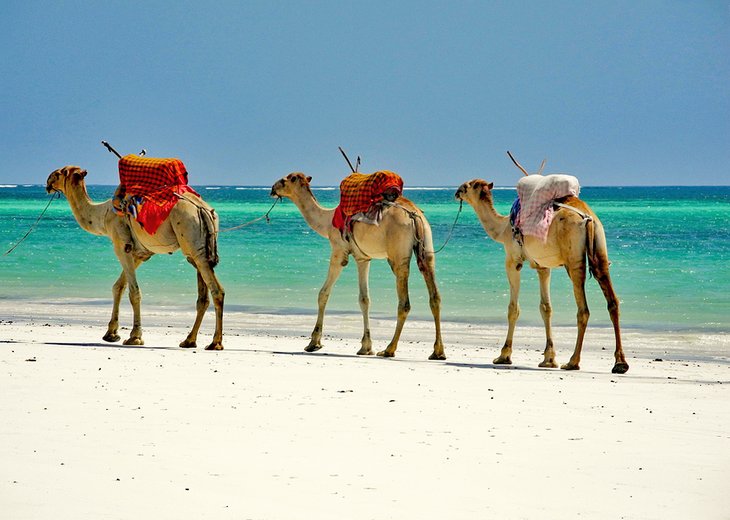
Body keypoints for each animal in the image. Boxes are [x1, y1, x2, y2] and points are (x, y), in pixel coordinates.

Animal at [46, 167, 222, 350]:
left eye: (58, 173)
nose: (47, 183)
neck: (104, 214)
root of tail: (203, 210)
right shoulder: (139, 254)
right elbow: (118, 287)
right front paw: (111, 333)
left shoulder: (121, 246)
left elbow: (134, 292)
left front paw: (135, 337)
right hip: (199, 248)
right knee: (203, 297)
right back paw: (189, 340)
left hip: (191, 238)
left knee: (217, 290)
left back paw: (215, 342)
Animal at [272, 173, 446, 360]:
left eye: (284, 180)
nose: (272, 189)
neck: (327, 221)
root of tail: (414, 215)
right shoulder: (363, 258)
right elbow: (364, 299)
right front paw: (366, 347)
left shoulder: (339, 252)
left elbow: (323, 293)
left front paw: (314, 343)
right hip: (427, 248)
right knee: (435, 296)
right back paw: (438, 352)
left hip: (398, 255)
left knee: (404, 302)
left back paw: (389, 349)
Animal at [456, 179, 624, 374]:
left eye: (466, 186)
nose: (456, 192)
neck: (503, 229)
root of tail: (588, 218)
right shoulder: (543, 267)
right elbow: (546, 308)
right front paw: (549, 359)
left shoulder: (513, 261)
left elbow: (513, 309)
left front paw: (504, 355)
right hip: (600, 248)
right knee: (612, 301)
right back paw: (620, 363)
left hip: (574, 259)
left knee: (583, 309)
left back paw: (573, 362)